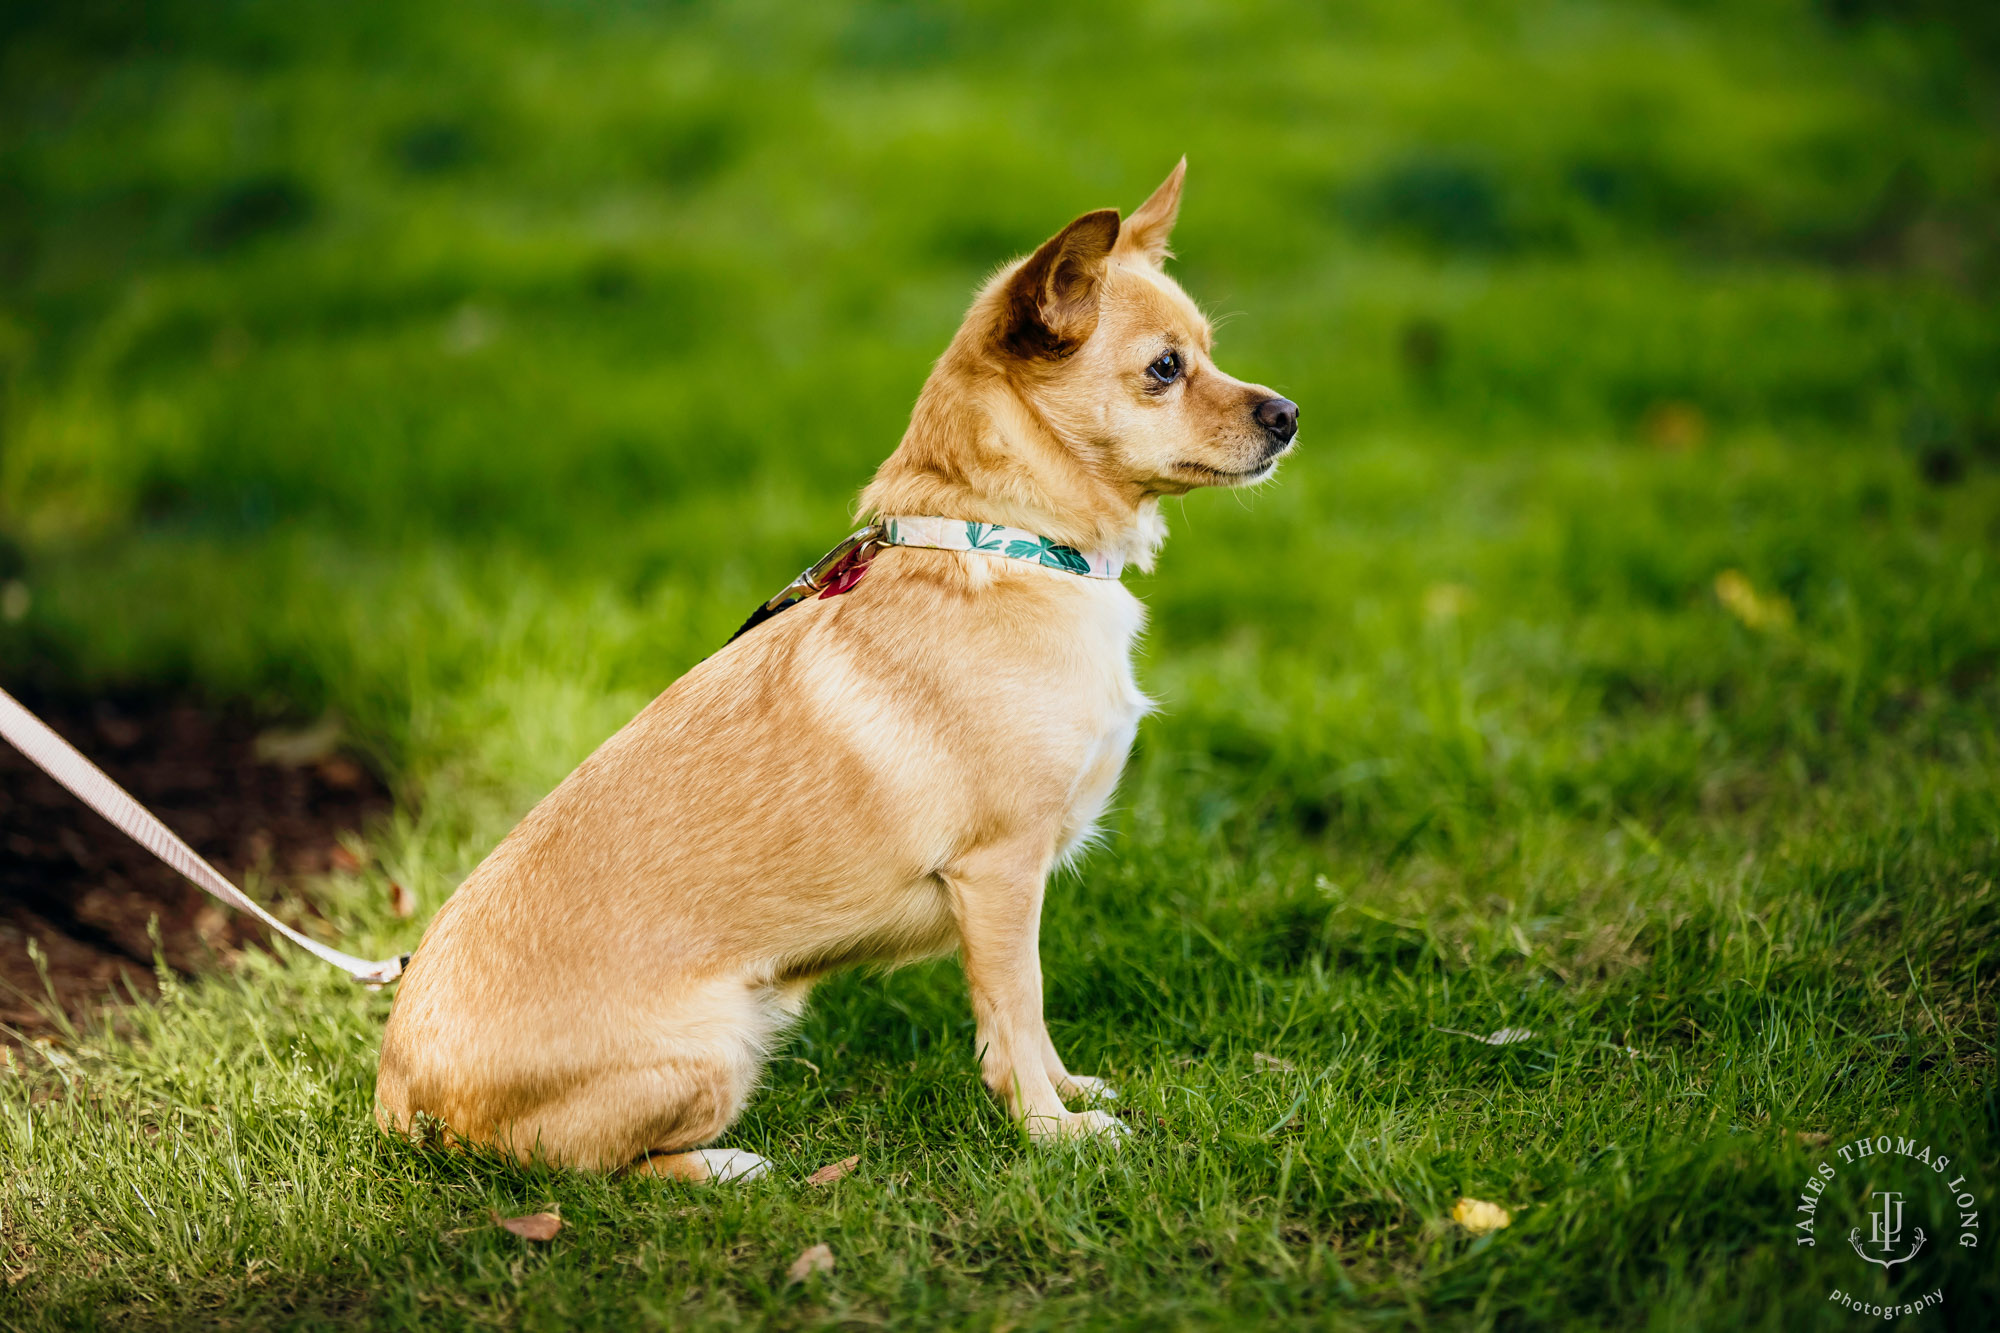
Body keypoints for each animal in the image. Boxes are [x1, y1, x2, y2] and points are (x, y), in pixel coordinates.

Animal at [374, 163, 1296, 1176]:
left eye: (1209, 353)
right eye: (1165, 369)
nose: (1290, 415)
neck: (1006, 541)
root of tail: (396, 1093)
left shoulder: (1015, 887)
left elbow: (1034, 1018)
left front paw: (1071, 1091)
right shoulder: (1000, 875)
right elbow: (1017, 1010)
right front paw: (1051, 1130)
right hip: (723, 1037)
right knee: (591, 1165)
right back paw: (728, 1166)